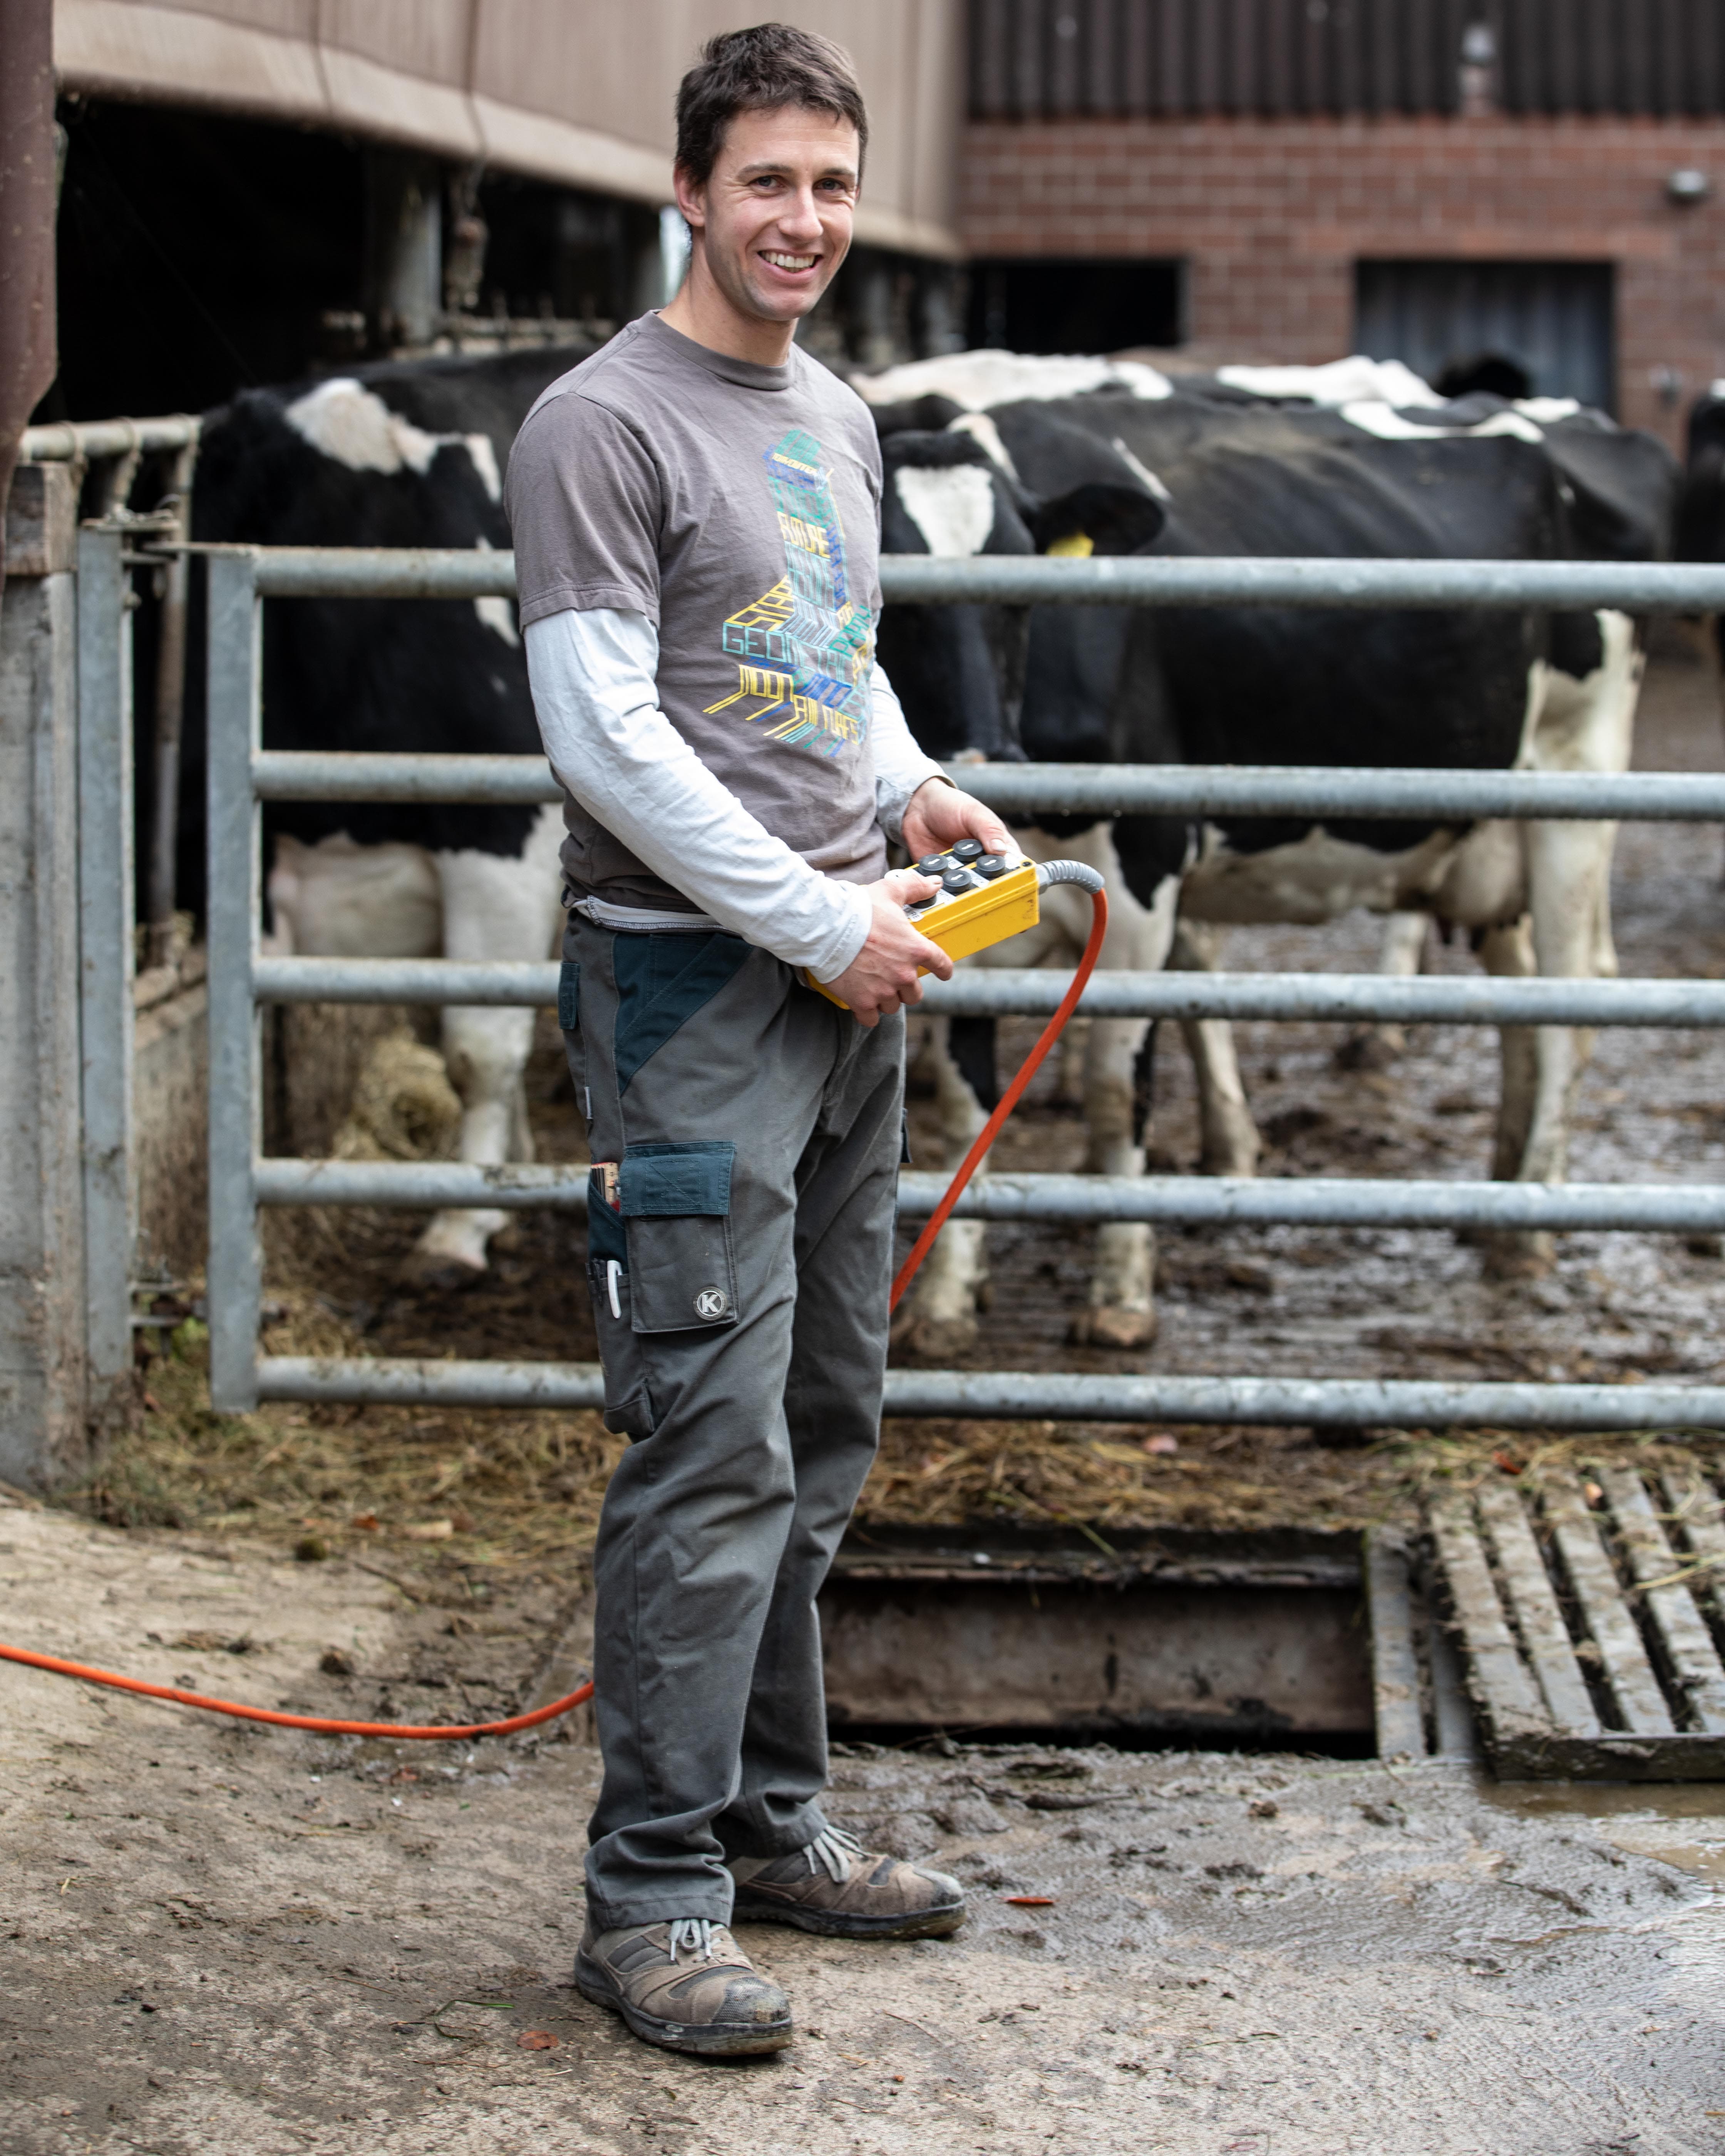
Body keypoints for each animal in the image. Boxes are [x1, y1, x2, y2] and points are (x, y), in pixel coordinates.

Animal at [854, 355, 1682, 1354]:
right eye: (899, 607)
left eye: (1023, 595)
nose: (985, 759)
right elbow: (965, 1098)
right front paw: (944, 1300)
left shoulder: (1144, 868)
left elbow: (1113, 1084)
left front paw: (1121, 1291)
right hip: (1490, 834)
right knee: (1520, 1000)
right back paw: (1501, 1198)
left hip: (1574, 790)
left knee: (1570, 999)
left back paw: (1531, 1222)